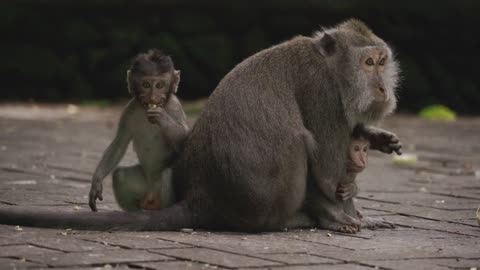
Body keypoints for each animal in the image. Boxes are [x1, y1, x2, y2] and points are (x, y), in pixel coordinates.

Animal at [89, 49, 188, 212]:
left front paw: (161, 117)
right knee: (120, 175)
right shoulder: (129, 109)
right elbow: (119, 143)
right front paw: (96, 182)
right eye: (146, 84)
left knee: (167, 174)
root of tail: (151, 196)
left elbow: (184, 138)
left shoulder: (174, 106)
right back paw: (136, 211)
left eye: (160, 85)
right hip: (144, 187)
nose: (152, 97)